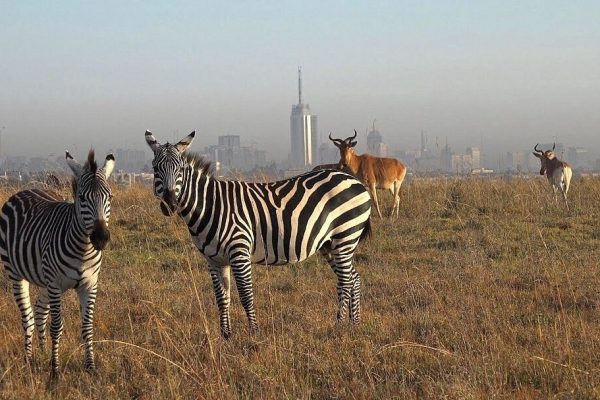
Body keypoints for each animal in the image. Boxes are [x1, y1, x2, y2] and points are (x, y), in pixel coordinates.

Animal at [0, 149, 115, 376]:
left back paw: (42, 352)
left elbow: (87, 326)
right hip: (16, 273)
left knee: (39, 312)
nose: (101, 238)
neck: (83, 249)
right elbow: (57, 327)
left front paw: (90, 367)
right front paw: (55, 370)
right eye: (82, 198)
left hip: (44, 279)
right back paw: (29, 360)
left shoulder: (90, 284)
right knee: (28, 318)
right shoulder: (55, 284)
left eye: (110, 197)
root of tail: (25, 190)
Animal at [145, 130, 370, 338]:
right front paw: (226, 336)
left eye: (180, 169)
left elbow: (246, 295)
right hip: (329, 244)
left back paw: (339, 325)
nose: (170, 204)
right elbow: (222, 298)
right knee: (354, 277)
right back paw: (354, 324)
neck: (211, 206)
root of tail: (353, 180)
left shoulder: (239, 252)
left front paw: (254, 333)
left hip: (345, 235)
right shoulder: (214, 260)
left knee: (345, 281)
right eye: (155, 168)